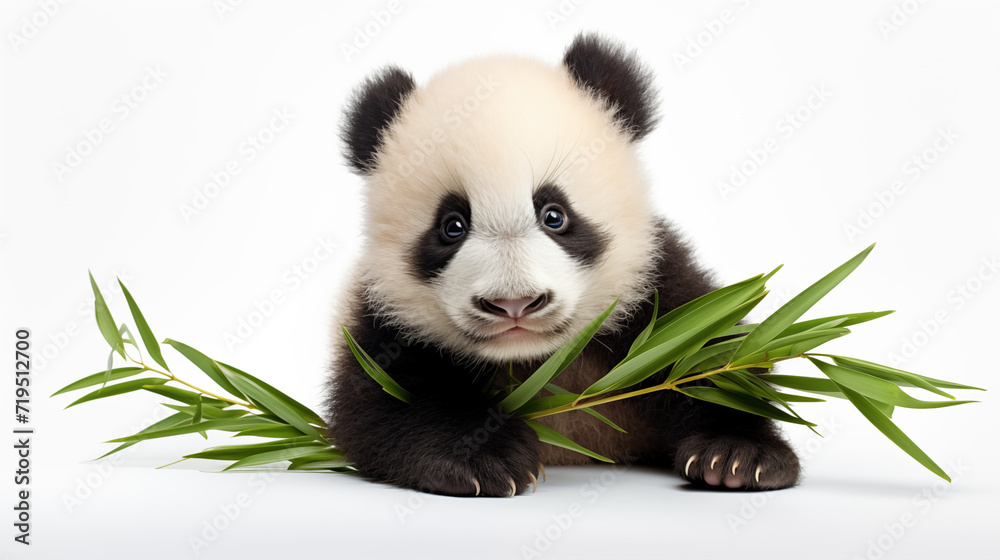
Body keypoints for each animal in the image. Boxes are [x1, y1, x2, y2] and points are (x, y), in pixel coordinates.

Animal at [325, 33, 800, 497]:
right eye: (452, 226)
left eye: (554, 215)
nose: (514, 304)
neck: (535, 361)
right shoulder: (382, 318)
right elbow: (382, 404)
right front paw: (483, 459)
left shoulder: (655, 288)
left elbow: (712, 358)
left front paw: (737, 456)